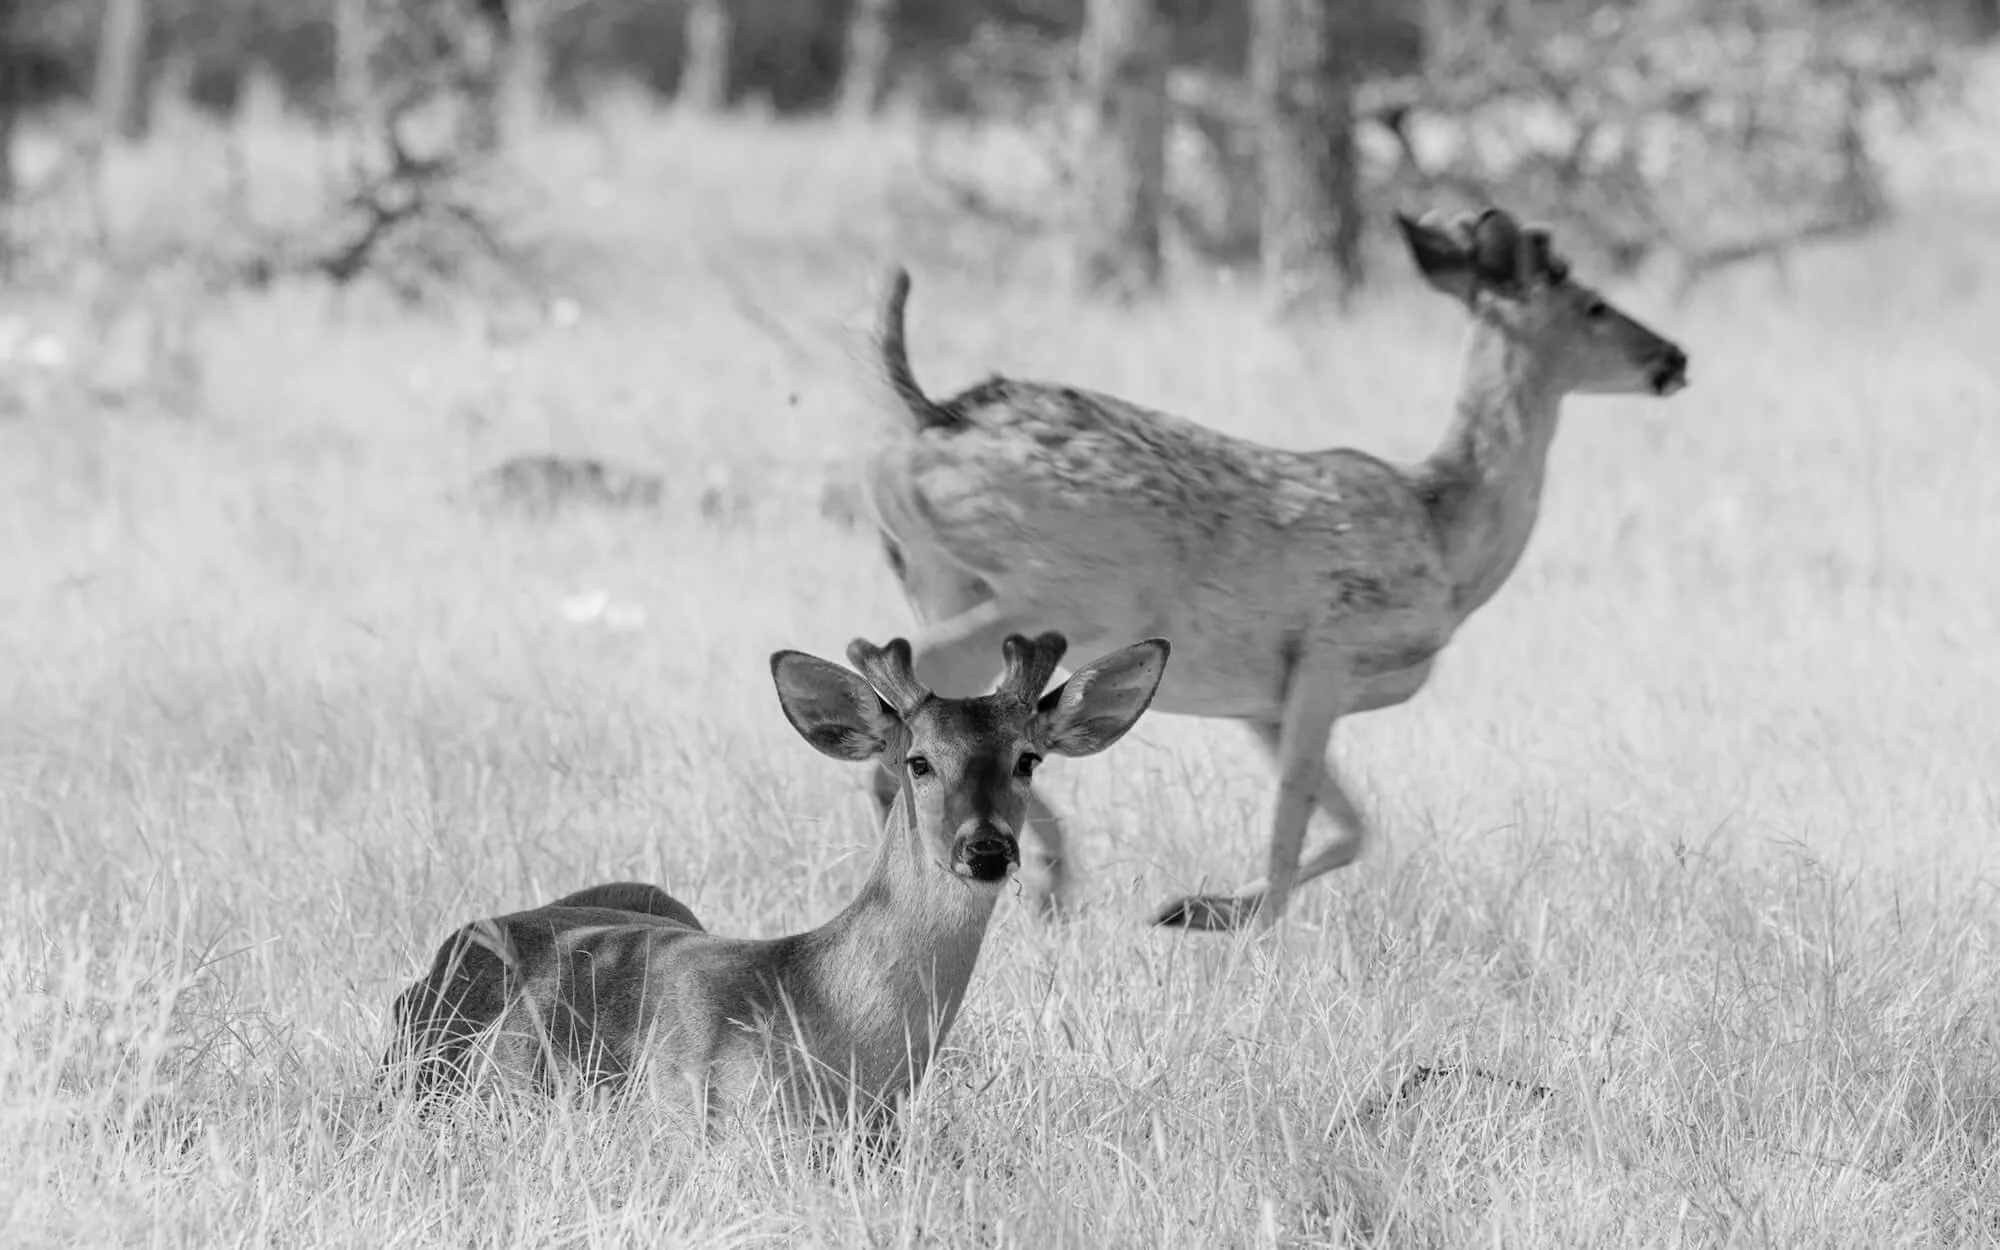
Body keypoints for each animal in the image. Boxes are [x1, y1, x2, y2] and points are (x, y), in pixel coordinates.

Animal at [860, 206, 1690, 933]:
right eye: (1595, 305)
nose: (1675, 359)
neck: (1444, 535)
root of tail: (933, 417)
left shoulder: (1263, 700)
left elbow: (1351, 828)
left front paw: (1195, 909)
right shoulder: (1329, 651)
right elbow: (1295, 826)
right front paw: (1227, 919)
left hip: (943, 581)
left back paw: (1041, 873)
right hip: (1067, 592)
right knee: (905, 676)